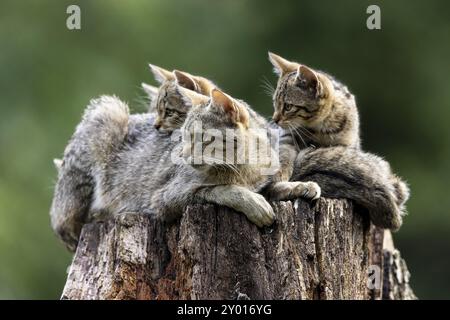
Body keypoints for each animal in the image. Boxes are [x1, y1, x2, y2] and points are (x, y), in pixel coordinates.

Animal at [268, 51, 410, 229]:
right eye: (275, 103)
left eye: (288, 107)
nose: (275, 120)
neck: (321, 128)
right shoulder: (287, 136)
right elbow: (284, 160)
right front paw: (282, 180)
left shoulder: (346, 144)